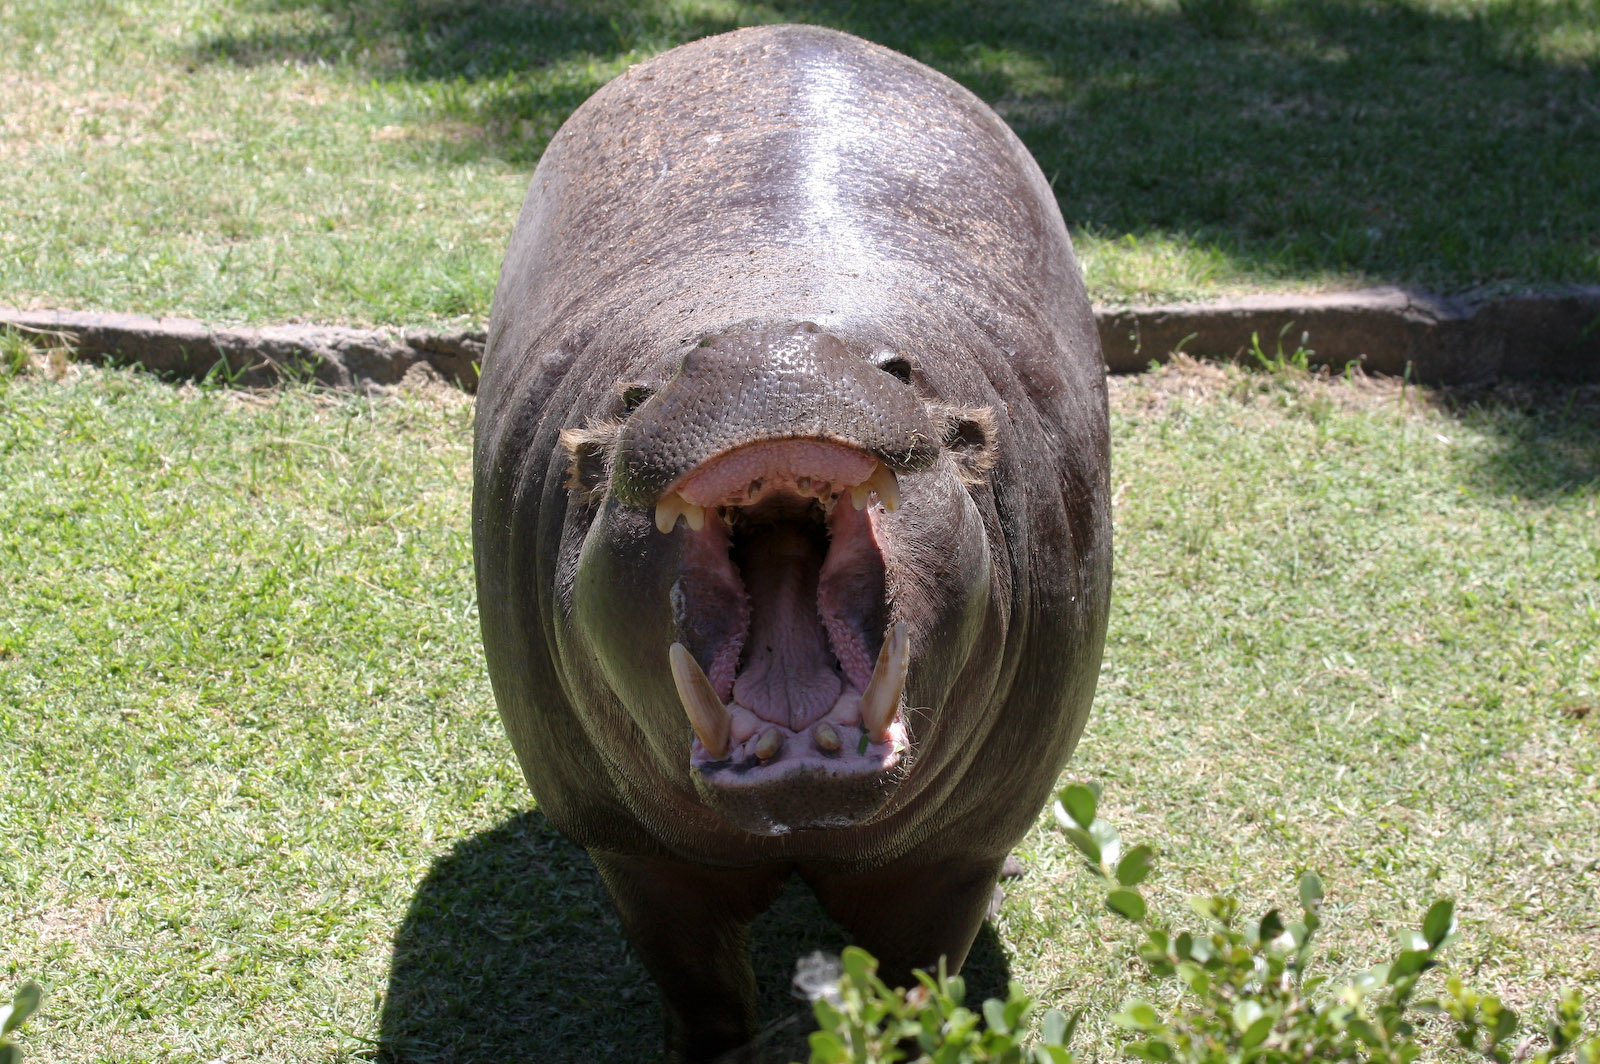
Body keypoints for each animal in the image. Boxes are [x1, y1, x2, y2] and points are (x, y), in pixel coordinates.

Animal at [472, 24, 1110, 1062]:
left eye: (897, 368)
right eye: (639, 392)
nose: (762, 346)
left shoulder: (946, 863)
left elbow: (913, 985)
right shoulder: (638, 858)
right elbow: (703, 992)